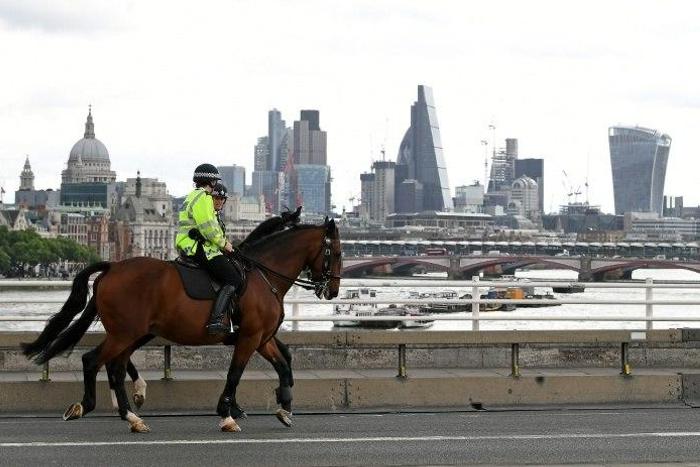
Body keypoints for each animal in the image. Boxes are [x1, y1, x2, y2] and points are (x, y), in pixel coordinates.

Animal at [22, 217, 342, 433]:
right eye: (337, 253)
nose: (334, 290)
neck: (263, 276)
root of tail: (112, 266)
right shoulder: (250, 337)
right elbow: (235, 374)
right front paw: (227, 414)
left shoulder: (261, 338)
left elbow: (284, 365)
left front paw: (284, 406)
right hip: (125, 333)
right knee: (93, 361)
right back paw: (90, 406)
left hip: (132, 333)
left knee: (115, 367)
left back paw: (131, 415)